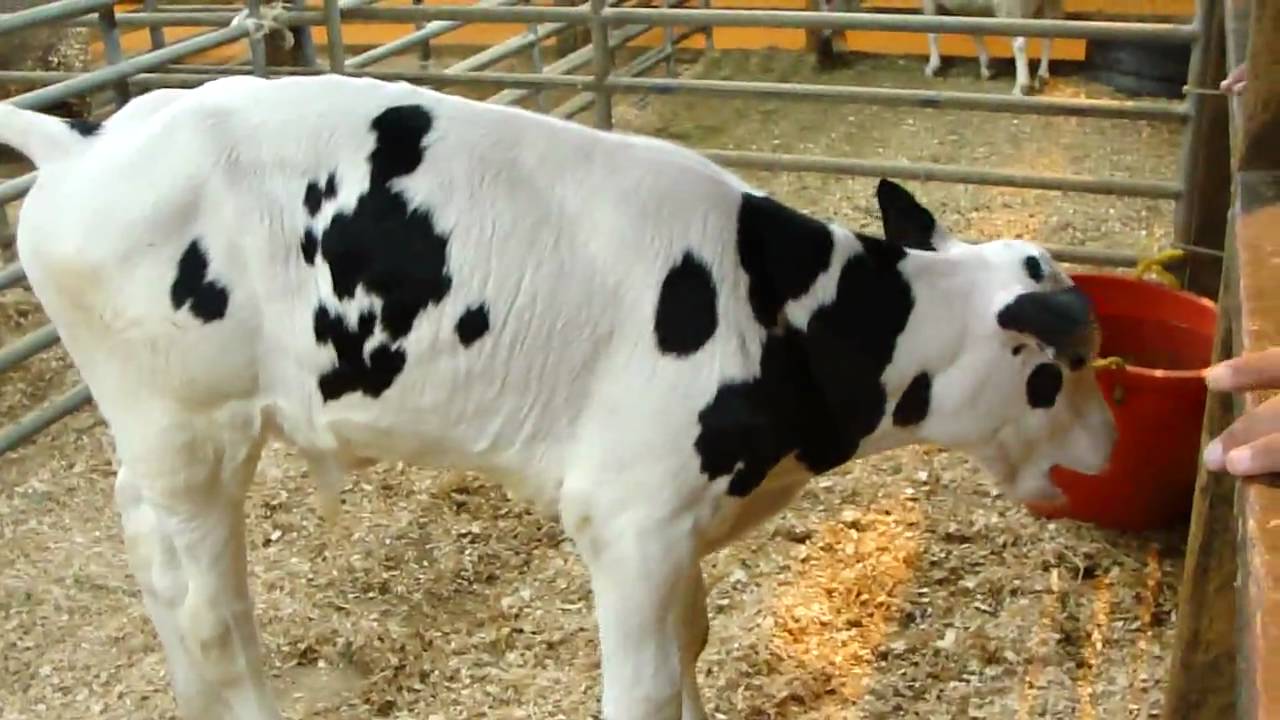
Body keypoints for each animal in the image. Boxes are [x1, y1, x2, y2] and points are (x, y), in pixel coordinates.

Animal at [1, 73, 1115, 720]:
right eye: (1061, 369)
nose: (1108, 448)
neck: (781, 320)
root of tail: (88, 139)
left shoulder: (676, 522)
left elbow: (690, 643)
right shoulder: (628, 516)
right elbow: (644, 686)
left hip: (158, 439)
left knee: (152, 565)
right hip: (196, 427)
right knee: (210, 617)